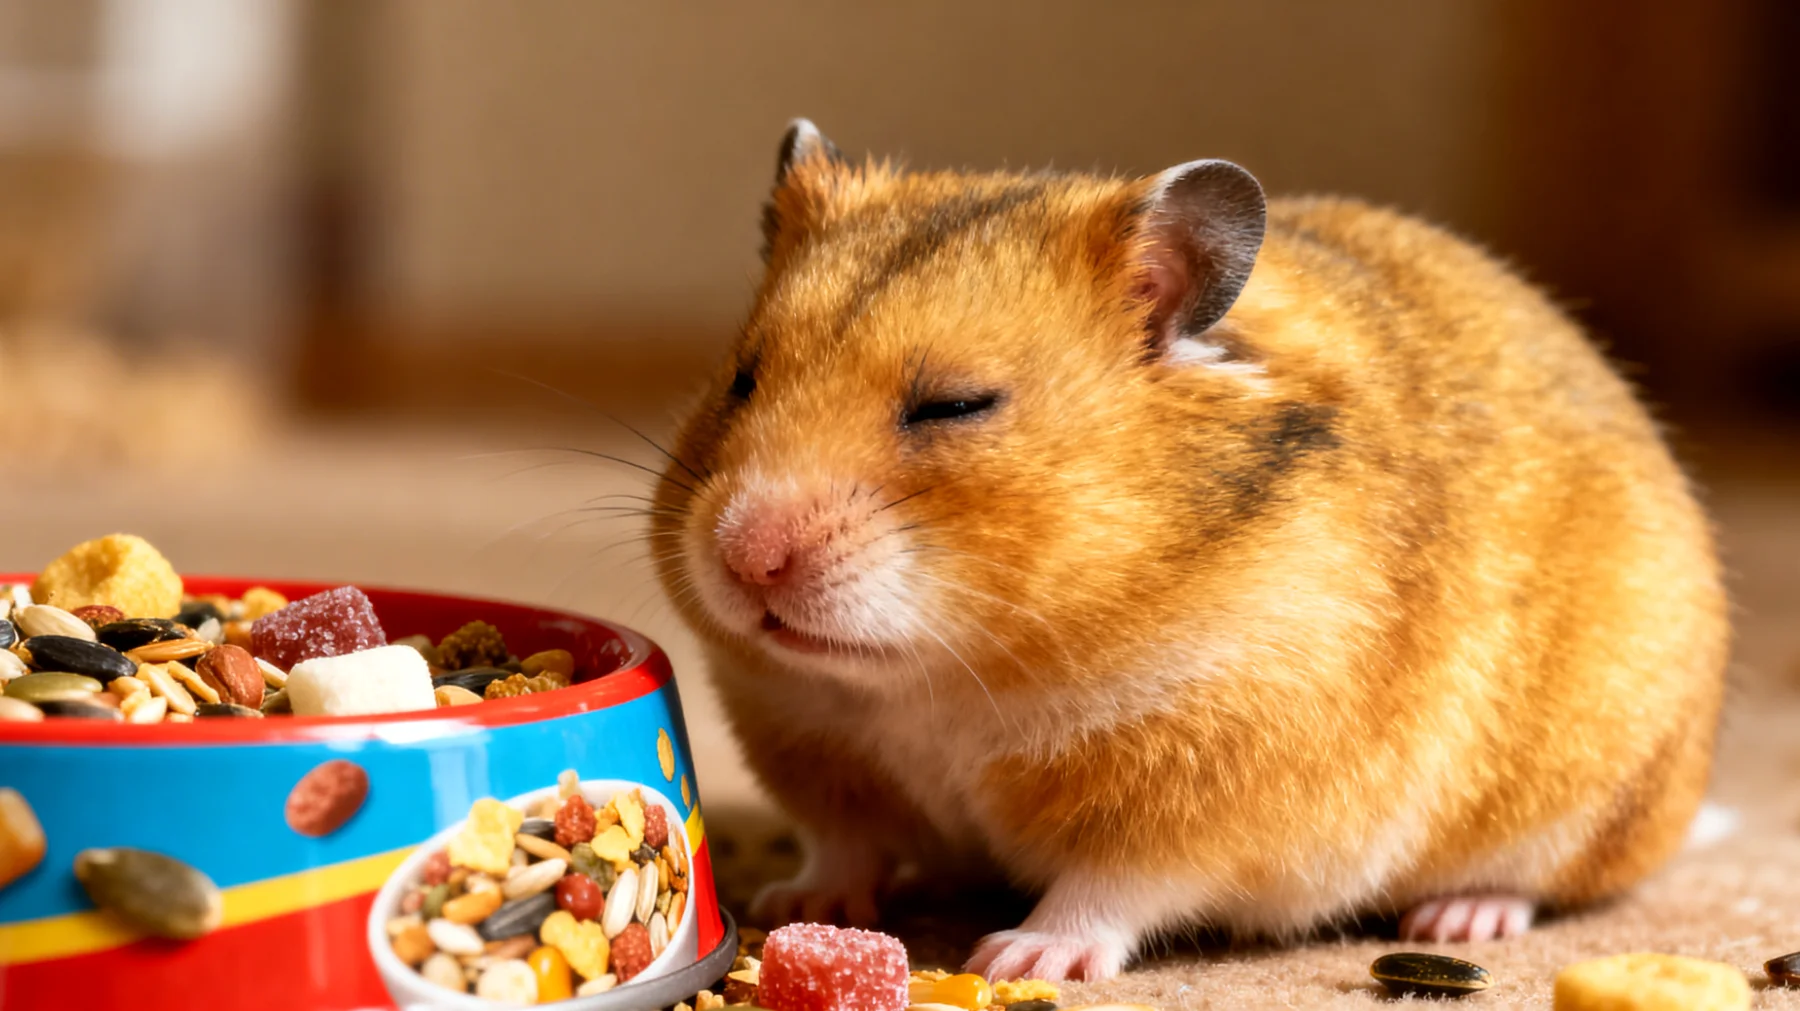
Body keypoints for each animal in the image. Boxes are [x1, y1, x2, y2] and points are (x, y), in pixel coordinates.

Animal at [651, 120, 1728, 981]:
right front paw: (794, 908)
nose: (745, 558)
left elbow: (1110, 885)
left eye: (955, 406)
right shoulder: (818, 746)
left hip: (1587, 791)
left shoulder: (1207, 789)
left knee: (1537, 878)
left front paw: (1021, 958)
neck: (944, 676)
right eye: (743, 379)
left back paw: (1460, 917)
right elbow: (846, 844)